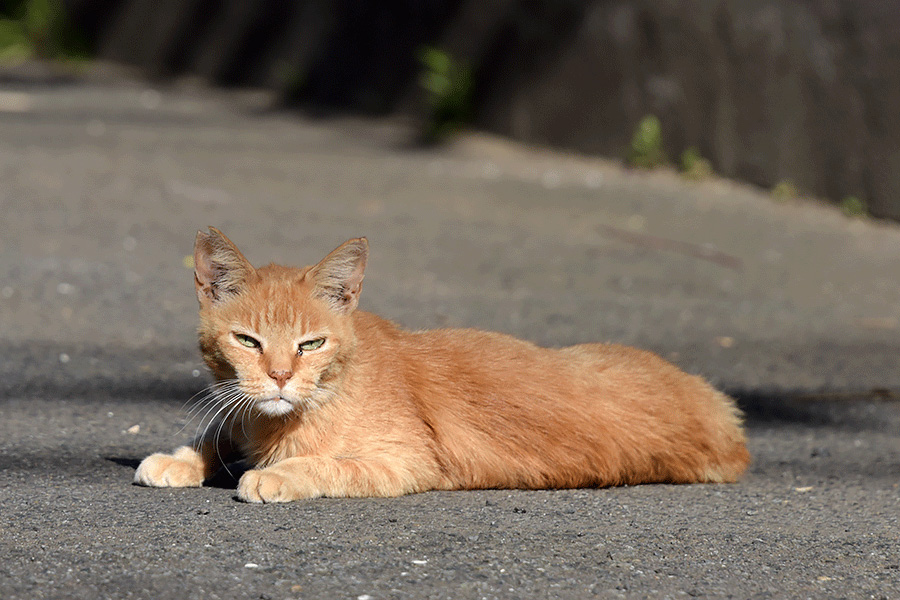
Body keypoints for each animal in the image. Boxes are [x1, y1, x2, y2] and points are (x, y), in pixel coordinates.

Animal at [134, 227, 748, 504]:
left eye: (310, 344)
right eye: (248, 340)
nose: (281, 376)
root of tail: (720, 406)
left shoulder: (406, 461)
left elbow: (329, 465)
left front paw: (277, 474)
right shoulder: (243, 410)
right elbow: (219, 434)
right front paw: (180, 459)